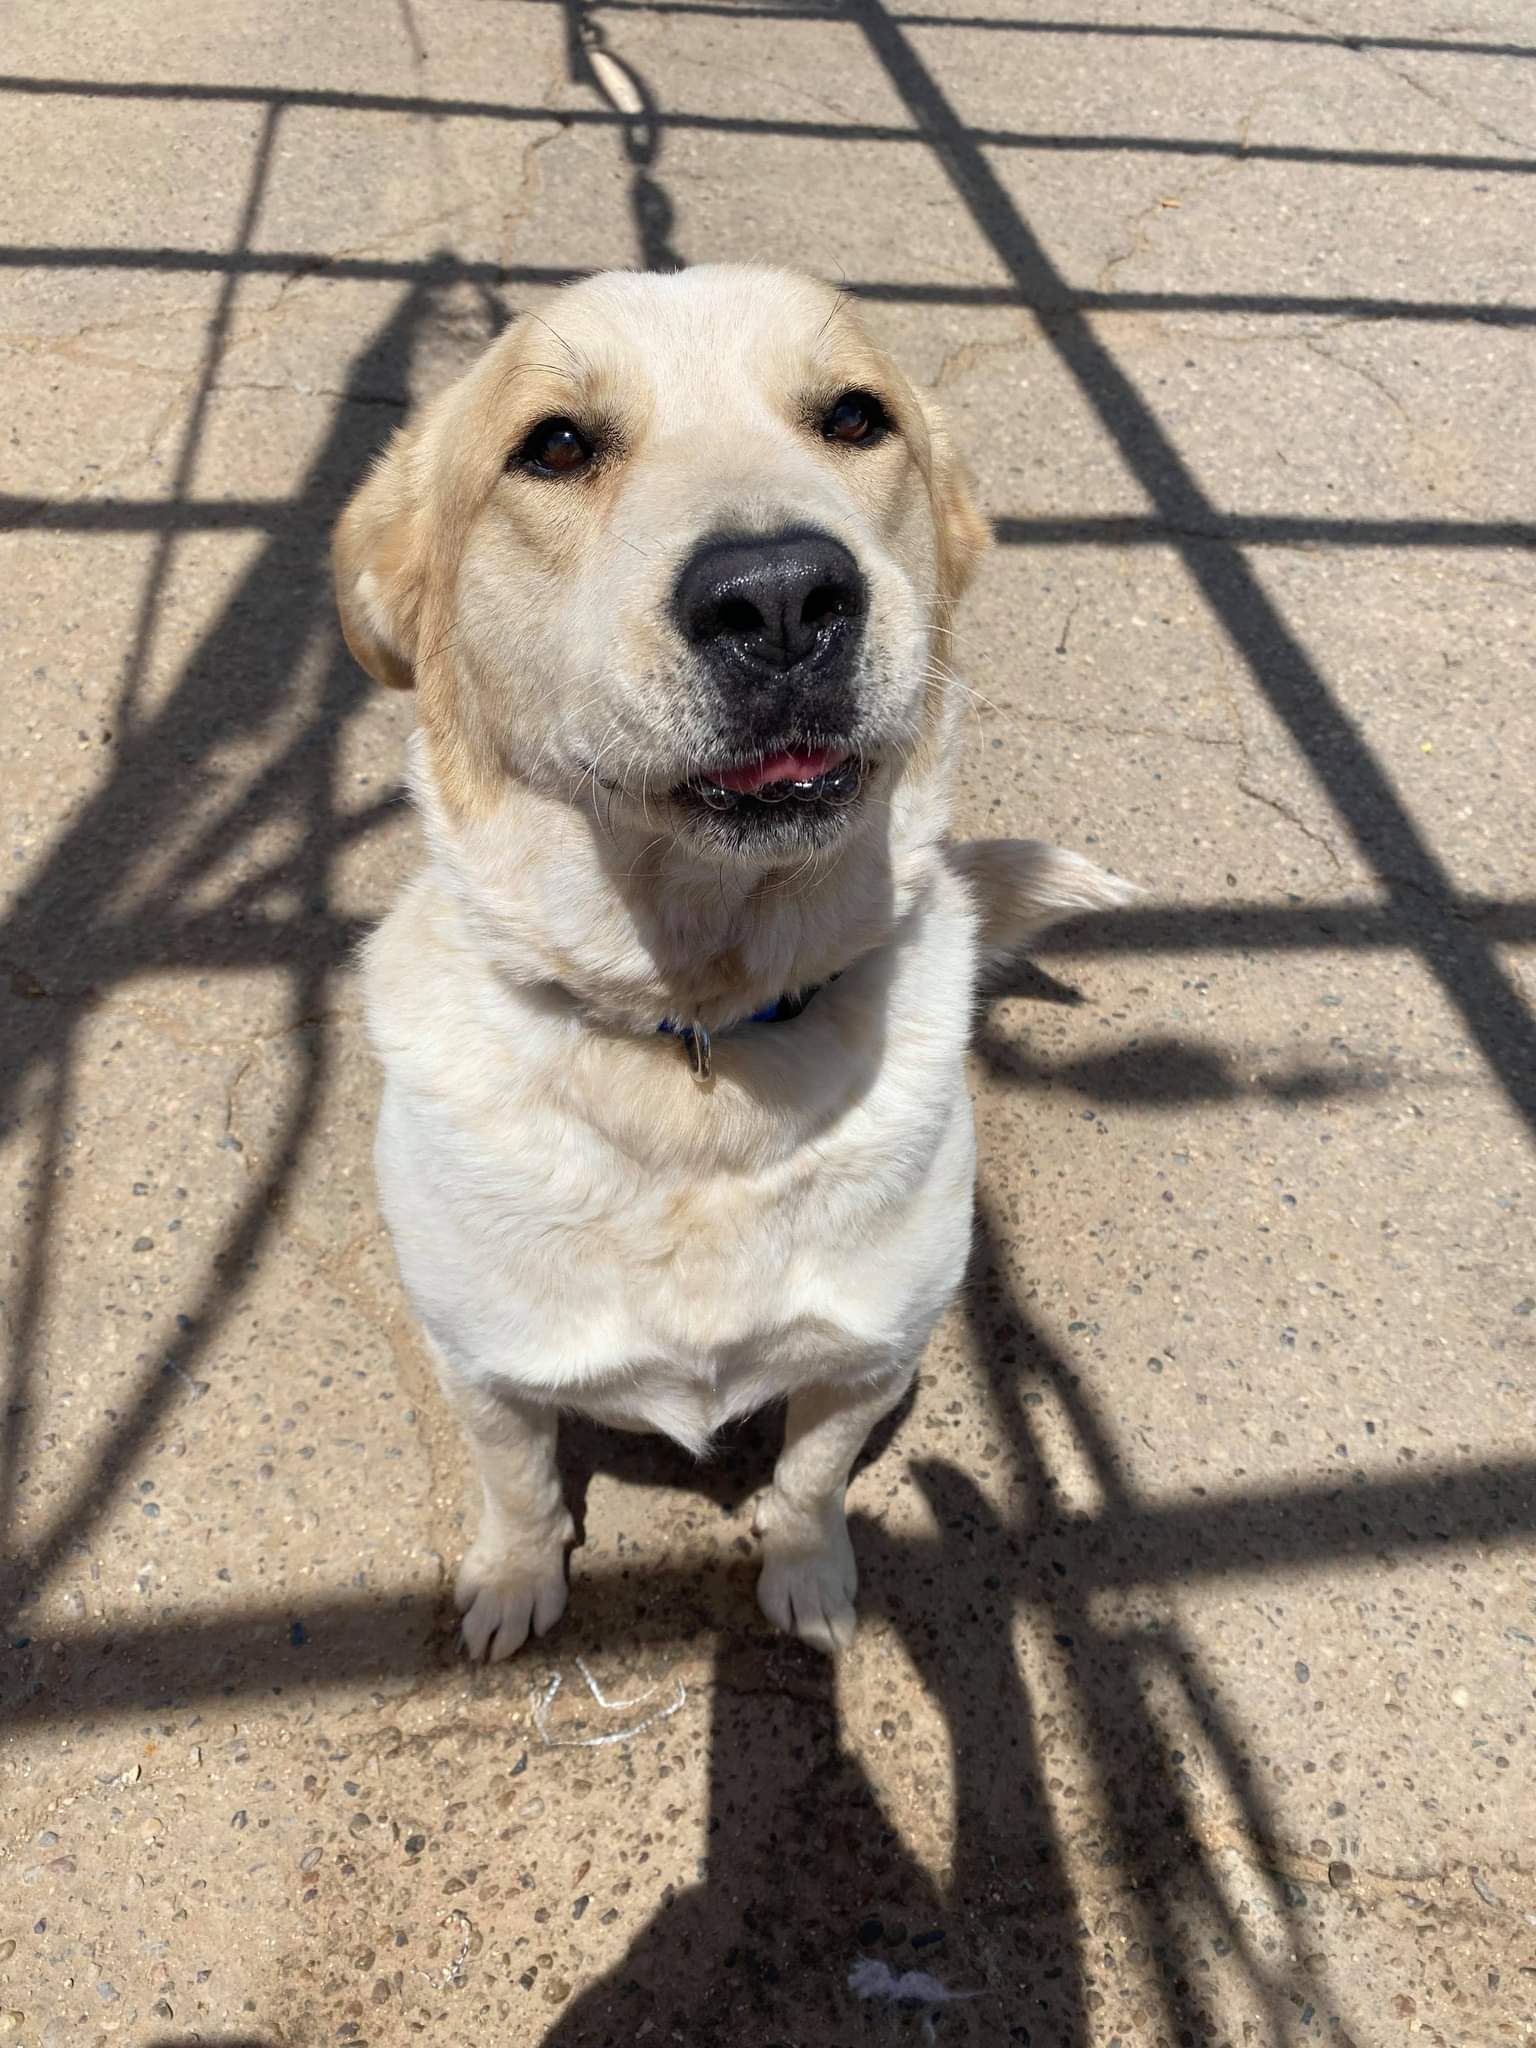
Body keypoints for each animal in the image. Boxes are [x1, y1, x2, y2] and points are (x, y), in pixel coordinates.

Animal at [335, 260, 1130, 1662]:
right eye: (555, 445)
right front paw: (517, 1579)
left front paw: (806, 1576)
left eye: (856, 417)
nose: (780, 596)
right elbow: (520, 1483)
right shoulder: (481, 1366)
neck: (695, 1033)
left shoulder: (869, 1358)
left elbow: (811, 1481)